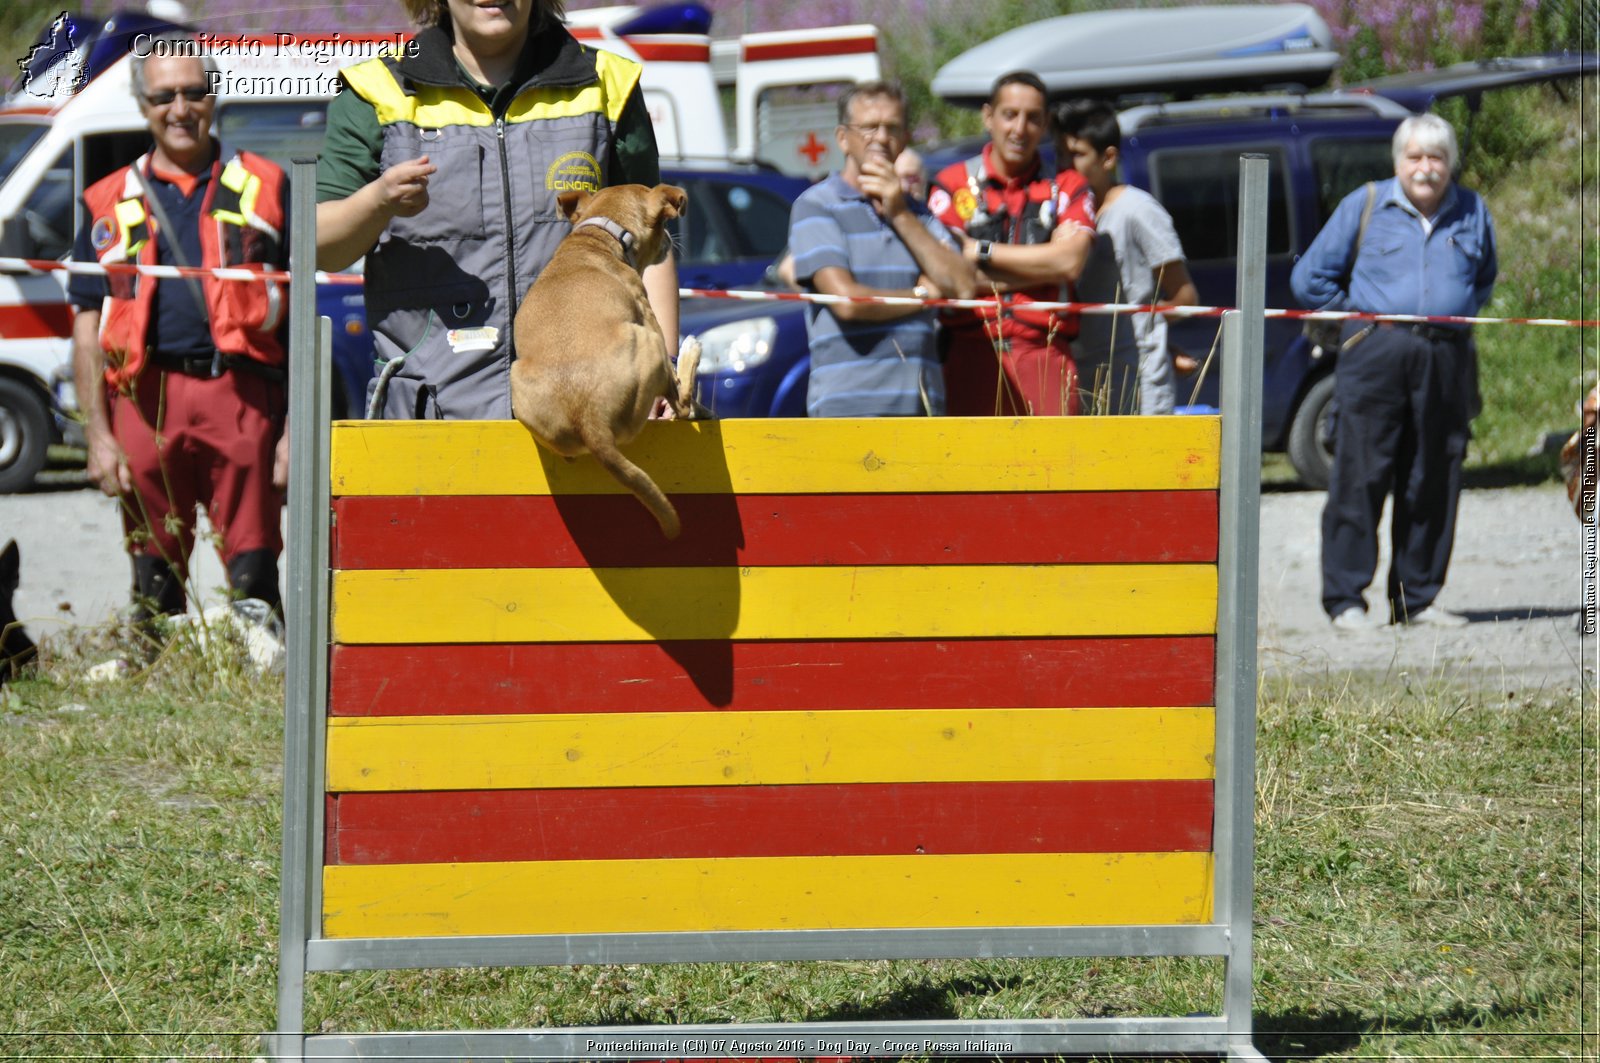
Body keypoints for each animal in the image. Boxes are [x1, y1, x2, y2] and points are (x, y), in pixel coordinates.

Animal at [515, 181, 704, 541]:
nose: (670, 240)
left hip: (518, 381)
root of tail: (590, 420)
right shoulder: (647, 311)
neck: (600, 234)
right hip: (649, 341)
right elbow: (680, 397)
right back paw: (691, 351)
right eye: (663, 223)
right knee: (683, 402)